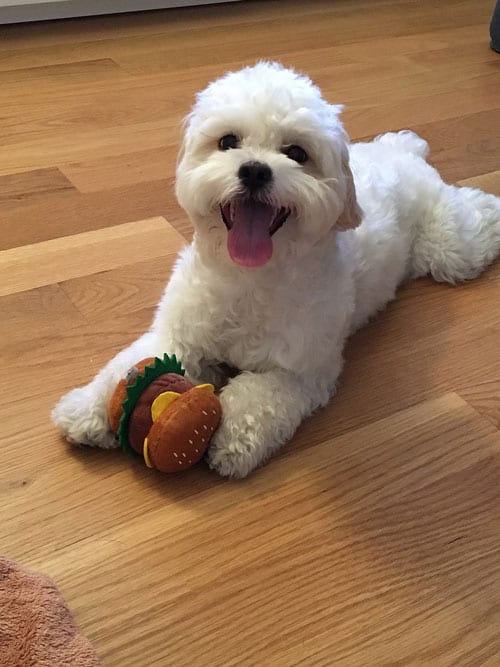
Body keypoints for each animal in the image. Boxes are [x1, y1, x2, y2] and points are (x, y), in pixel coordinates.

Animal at [51, 61, 500, 480]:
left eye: (296, 153)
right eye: (228, 141)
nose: (254, 169)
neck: (249, 278)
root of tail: (401, 154)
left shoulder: (297, 371)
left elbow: (256, 399)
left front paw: (231, 438)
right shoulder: (178, 333)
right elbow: (128, 367)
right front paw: (88, 407)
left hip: (451, 248)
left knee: (474, 220)